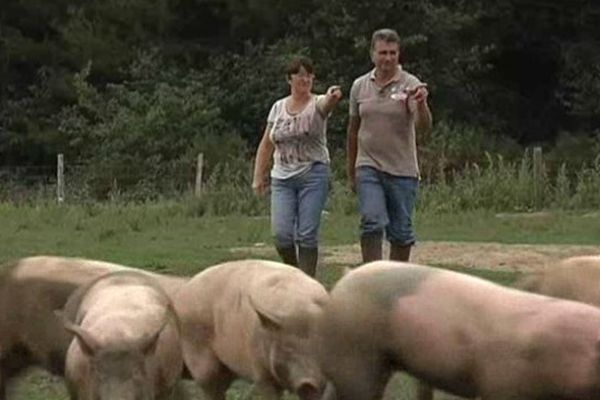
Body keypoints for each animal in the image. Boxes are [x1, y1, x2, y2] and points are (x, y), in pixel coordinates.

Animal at [173, 260, 330, 400]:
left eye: (320, 346)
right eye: (287, 347)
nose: (308, 383)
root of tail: (182, 292)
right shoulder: (260, 370)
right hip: (198, 354)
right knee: (210, 387)